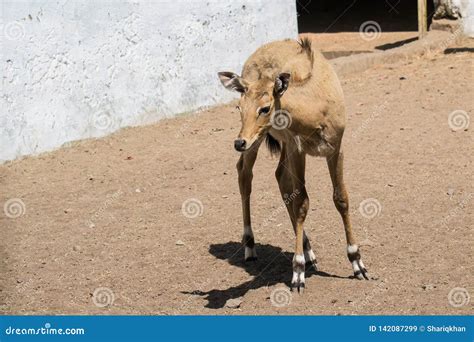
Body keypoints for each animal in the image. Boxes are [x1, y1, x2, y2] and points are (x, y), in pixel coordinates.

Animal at [217, 38, 368, 292]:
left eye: (265, 107)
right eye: (239, 107)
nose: (239, 142)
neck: (316, 108)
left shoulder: (335, 148)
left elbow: (340, 198)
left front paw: (358, 263)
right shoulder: (298, 149)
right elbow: (302, 202)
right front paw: (297, 272)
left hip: (280, 145)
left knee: (280, 177)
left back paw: (309, 252)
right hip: (264, 143)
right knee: (245, 174)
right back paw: (251, 246)